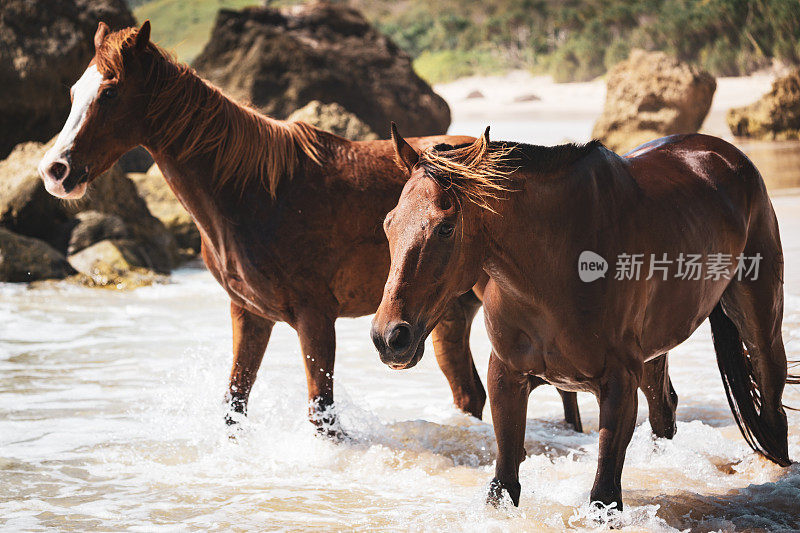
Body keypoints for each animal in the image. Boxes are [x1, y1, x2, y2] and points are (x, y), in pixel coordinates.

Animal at [36, 21, 588, 432]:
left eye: (109, 94)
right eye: (74, 91)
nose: (55, 170)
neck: (256, 194)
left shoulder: (315, 318)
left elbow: (323, 416)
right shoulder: (249, 315)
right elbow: (234, 405)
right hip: (446, 317)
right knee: (472, 395)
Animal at [376, 127, 792, 510]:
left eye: (446, 227)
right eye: (389, 222)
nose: (389, 336)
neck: (560, 266)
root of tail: (724, 153)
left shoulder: (618, 384)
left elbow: (603, 496)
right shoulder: (506, 376)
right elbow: (503, 486)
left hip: (760, 325)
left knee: (772, 407)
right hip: (655, 355)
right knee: (665, 409)